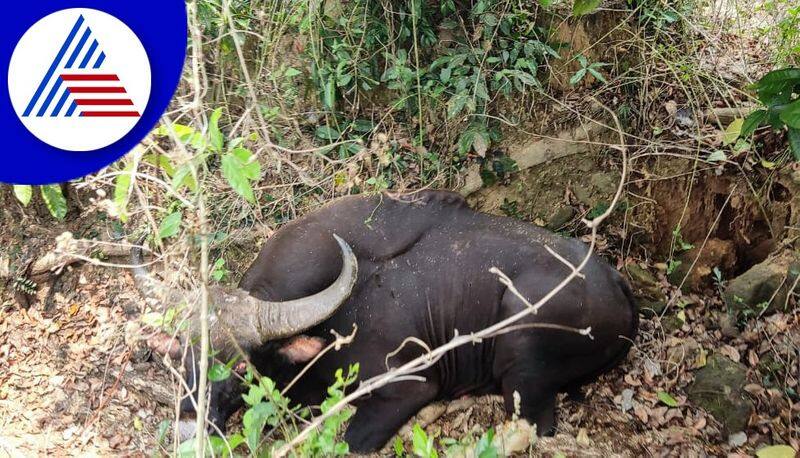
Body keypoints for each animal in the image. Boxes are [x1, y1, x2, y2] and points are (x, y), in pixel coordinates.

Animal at [138, 191, 636, 454]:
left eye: (241, 366)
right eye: (181, 356)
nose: (188, 427)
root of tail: (615, 280)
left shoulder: (408, 386)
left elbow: (350, 440)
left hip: (521, 347)